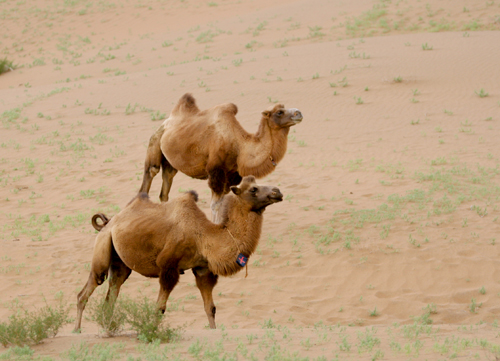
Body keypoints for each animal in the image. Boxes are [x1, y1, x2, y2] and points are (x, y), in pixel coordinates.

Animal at [76, 176, 284, 330]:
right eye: (253, 189)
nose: (277, 192)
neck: (203, 236)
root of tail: (109, 221)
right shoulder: (168, 267)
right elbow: (159, 308)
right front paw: (152, 333)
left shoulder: (202, 269)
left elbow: (210, 308)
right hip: (103, 246)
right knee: (89, 288)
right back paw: (77, 330)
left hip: (120, 262)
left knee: (112, 293)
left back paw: (108, 328)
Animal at [137, 92, 300, 222]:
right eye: (279, 112)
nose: (298, 113)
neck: (239, 146)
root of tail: (167, 121)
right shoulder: (216, 172)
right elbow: (215, 205)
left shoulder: (232, 175)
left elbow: (223, 204)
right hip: (155, 140)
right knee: (151, 172)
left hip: (170, 161)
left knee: (166, 186)